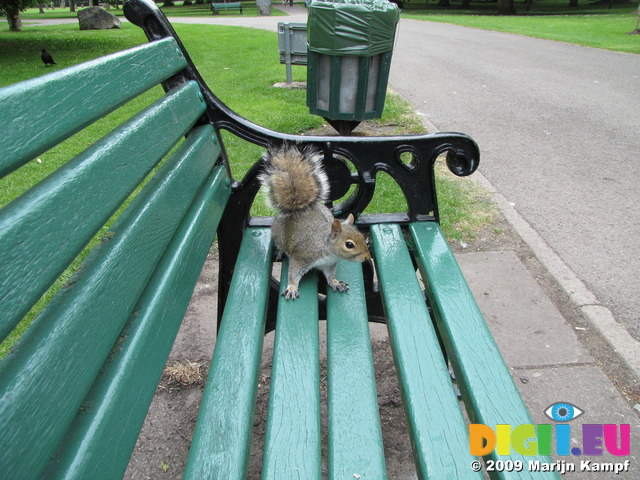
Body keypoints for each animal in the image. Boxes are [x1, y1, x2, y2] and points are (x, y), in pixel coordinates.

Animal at [258, 144, 370, 300]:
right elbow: (293, 273)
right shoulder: (302, 257)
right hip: (279, 235)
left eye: (362, 236)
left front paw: (335, 282)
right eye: (349, 245)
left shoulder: (329, 264)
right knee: (280, 245)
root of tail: (299, 209)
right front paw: (292, 287)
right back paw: (280, 252)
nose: (367, 257)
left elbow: (330, 275)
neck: (326, 248)